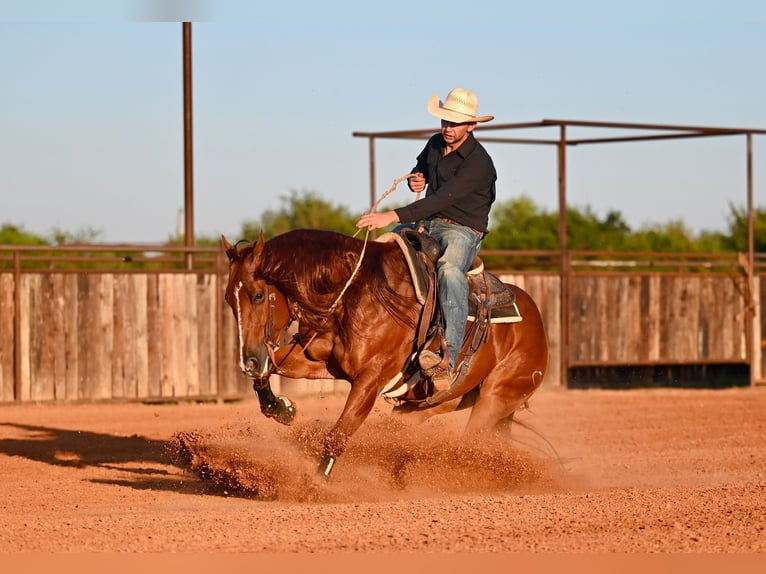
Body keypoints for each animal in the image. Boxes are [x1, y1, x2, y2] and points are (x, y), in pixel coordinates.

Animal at [222, 228, 548, 480]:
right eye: (228, 299)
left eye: (258, 295)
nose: (248, 361)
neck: (355, 292)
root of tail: (538, 327)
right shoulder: (321, 362)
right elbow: (272, 369)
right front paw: (281, 407)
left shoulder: (370, 378)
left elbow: (339, 434)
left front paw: (315, 484)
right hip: (439, 403)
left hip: (495, 399)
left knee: (471, 444)